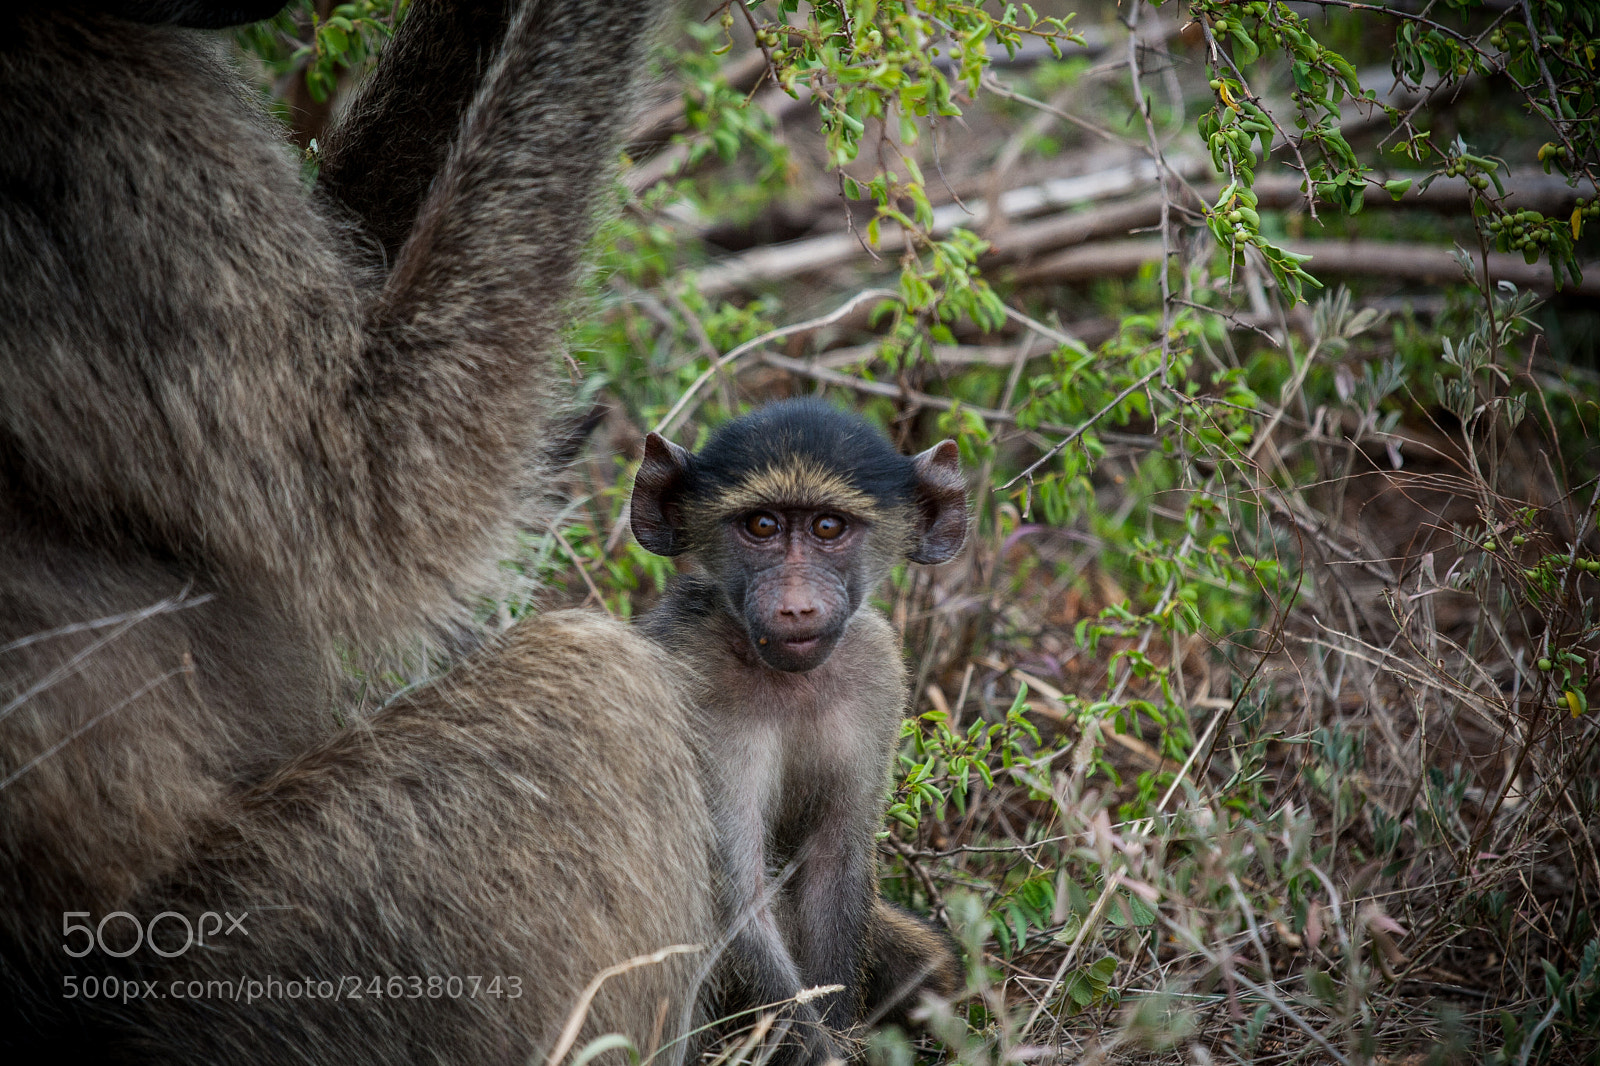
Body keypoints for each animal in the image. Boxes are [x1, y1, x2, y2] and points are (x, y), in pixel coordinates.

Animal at [629, 398, 969, 1059]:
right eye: (762, 526)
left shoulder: (875, 671)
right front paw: (825, 1051)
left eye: (828, 528)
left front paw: (843, 1036)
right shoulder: (693, 689)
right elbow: (738, 896)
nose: (795, 607)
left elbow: (835, 867)